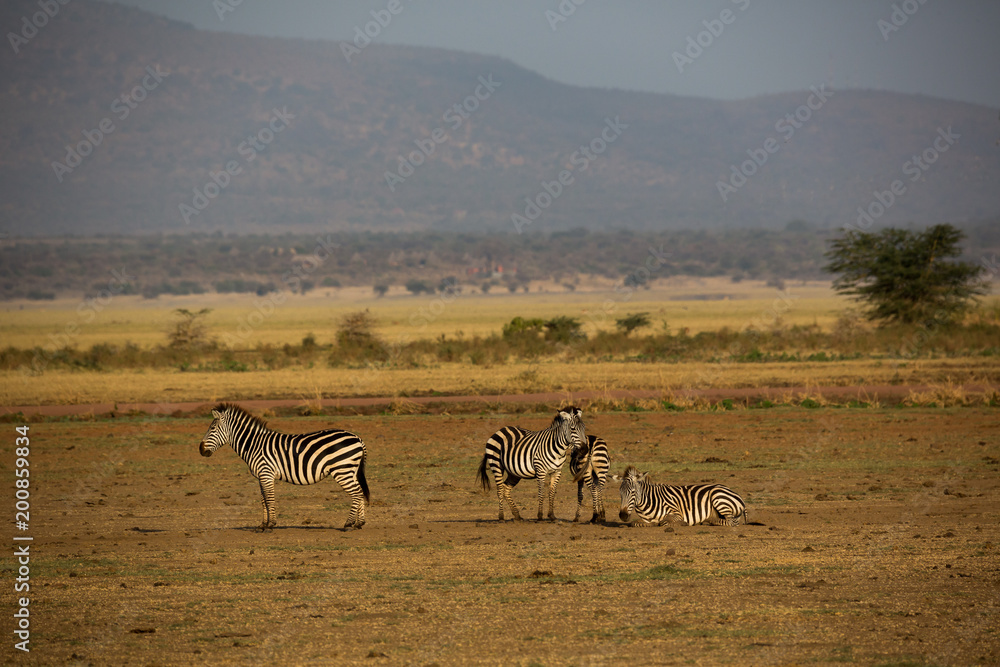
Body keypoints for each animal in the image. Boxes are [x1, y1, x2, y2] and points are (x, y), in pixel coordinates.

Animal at [198, 403, 369, 531]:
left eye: (212, 429)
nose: (200, 450)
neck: (254, 445)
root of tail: (357, 438)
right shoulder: (261, 476)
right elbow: (263, 500)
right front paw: (263, 524)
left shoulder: (266, 473)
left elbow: (269, 498)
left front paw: (270, 525)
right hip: (351, 470)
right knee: (360, 491)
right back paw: (359, 523)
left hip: (342, 470)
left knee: (356, 492)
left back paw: (348, 523)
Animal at [612, 465, 747, 527]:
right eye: (620, 493)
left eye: (633, 492)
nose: (623, 515)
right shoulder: (644, 519)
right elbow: (635, 523)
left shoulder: (677, 513)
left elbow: (664, 522)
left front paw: (683, 523)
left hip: (717, 497)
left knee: (732, 522)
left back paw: (708, 520)